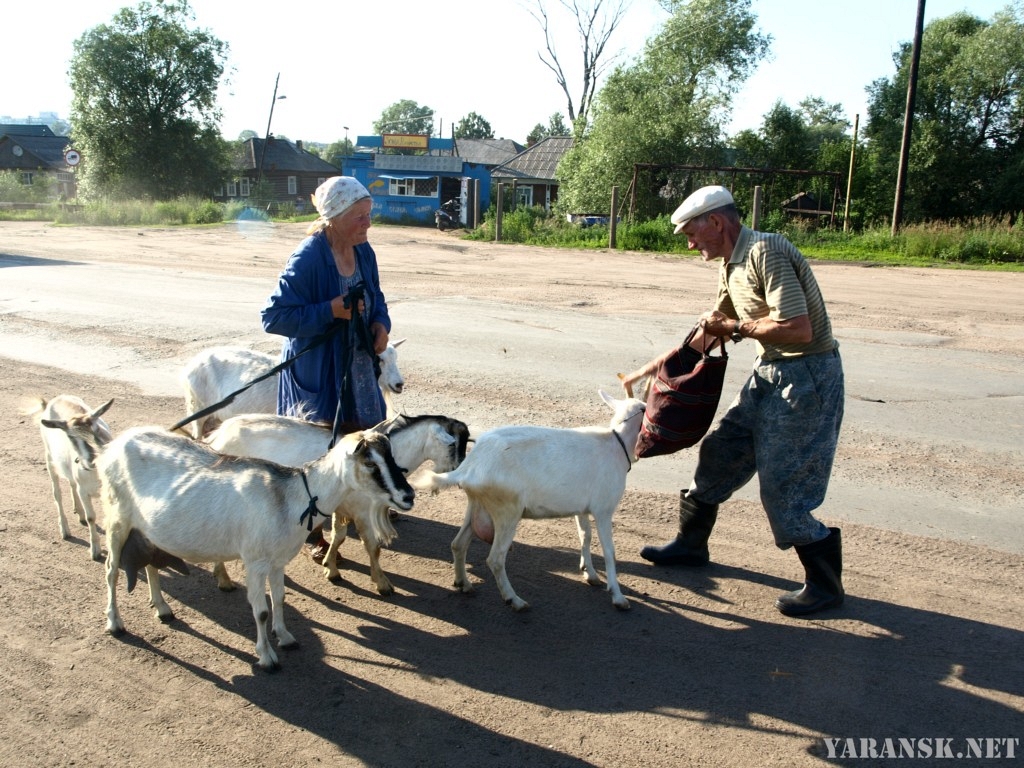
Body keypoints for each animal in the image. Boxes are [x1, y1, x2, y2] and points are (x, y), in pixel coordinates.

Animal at [30, 393, 114, 561]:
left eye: (96, 429)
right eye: (70, 437)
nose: (92, 458)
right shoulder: (84, 491)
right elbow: (91, 518)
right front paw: (95, 551)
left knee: (71, 483)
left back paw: (79, 512)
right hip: (50, 459)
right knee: (57, 494)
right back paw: (65, 530)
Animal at [97, 423, 413, 671]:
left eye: (391, 457)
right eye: (370, 463)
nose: (408, 496)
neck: (293, 498)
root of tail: (114, 445)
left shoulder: (278, 560)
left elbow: (280, 599)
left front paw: (285, 638)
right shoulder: (255, 561)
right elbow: (260, 610)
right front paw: (267, 657)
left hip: (146, 527)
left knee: (150, 563)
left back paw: (162, 608)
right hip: (117, 517)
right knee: (111, 570)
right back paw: (115, 623)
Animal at [203, 411, 468, 593]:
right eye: (453, 443)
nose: (460, 474)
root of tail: (218, 435)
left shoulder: (342, 507)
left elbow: (339, 536)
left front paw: (330, 568)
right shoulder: (362, 511)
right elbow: (373, 546)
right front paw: (382, 583)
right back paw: (224, 579)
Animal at [413, 391, 638, 614]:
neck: (615, 443)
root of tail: (471, 465)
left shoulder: (582, 508)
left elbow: (585, 536)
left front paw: (590, 574)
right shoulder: (604, 509)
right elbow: (609, 551)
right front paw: (618, 597)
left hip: (477, 505)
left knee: (458, 544)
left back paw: (463, 584)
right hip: (506, 510)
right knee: (495, 559)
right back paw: (514, 600)